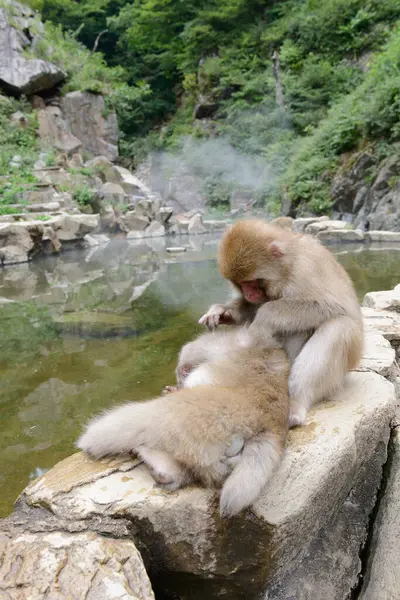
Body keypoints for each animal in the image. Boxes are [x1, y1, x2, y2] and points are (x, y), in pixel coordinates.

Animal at [76, 328, 290, 516]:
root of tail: (266, 424)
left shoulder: (228, 341)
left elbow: (192, 348)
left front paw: (181, 370)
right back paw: (163, 470)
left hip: (192, 417)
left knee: (139, 420)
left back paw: (94, 441)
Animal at [198, 220, 364, 426]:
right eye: (240, 284)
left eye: (252, 281)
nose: (249, 293)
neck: (288, 266)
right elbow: (252, 307)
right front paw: (222, 312)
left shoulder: (306, 268)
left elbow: (329, 305)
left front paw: (263, 316)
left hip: (350, 356)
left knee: (338, 327)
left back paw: (296, 403)